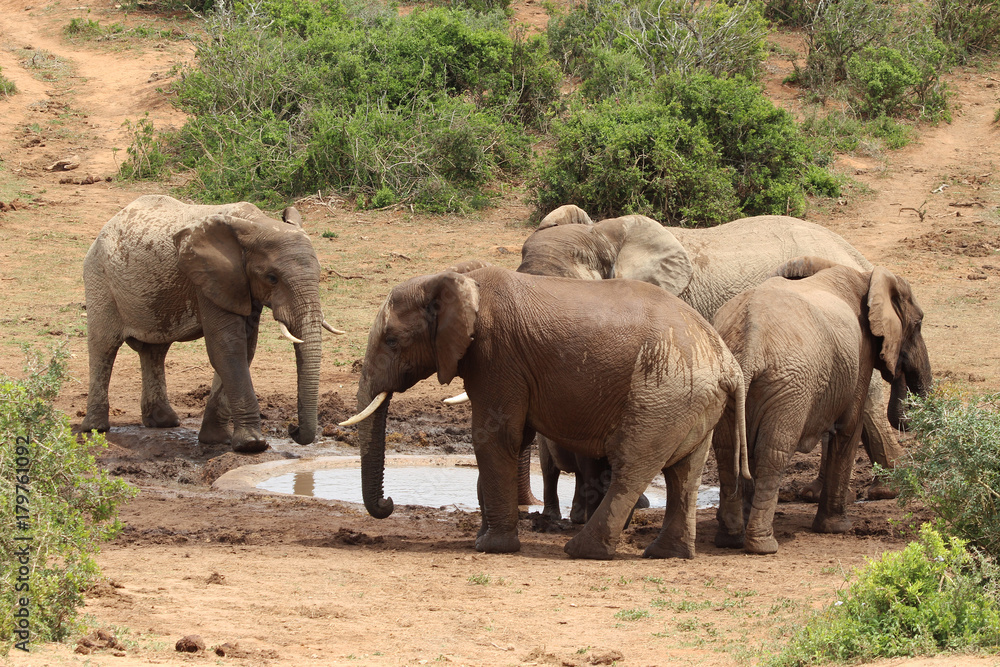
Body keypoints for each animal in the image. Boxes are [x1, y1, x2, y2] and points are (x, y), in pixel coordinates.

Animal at [80, 193, 344, 454]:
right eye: (272, 278)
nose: (292, 429)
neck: (256, 224)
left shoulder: (239, 284)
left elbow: (245, 348)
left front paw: (217, 440)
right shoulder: (208, 278)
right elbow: (227, 347)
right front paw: (252, 444)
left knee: (154, 350)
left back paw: (163, 422)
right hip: (99, 277)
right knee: (104, 346)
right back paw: (96, 428)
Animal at [340, 266, 748, 560]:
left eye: (392, 341)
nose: (388, 504)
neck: (453, 278)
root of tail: (728, 364)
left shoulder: (496, 353)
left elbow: (493, 437)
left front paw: (491, 547)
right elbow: (513, 438)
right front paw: (484, 539)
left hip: (661, 392)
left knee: (632, 466)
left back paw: (582, 551)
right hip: (691, 398)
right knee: (685, 474)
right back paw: (666, 554)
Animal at [712, 258, 928, 556]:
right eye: (918, 324)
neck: (866, 277)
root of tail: (749, 343)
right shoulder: (861, 353)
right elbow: (849, 428)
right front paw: (837, 528)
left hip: (730, 382)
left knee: (726, 450)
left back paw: (729, 539)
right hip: (790, 387)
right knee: (773, 452)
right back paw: (763, 545)